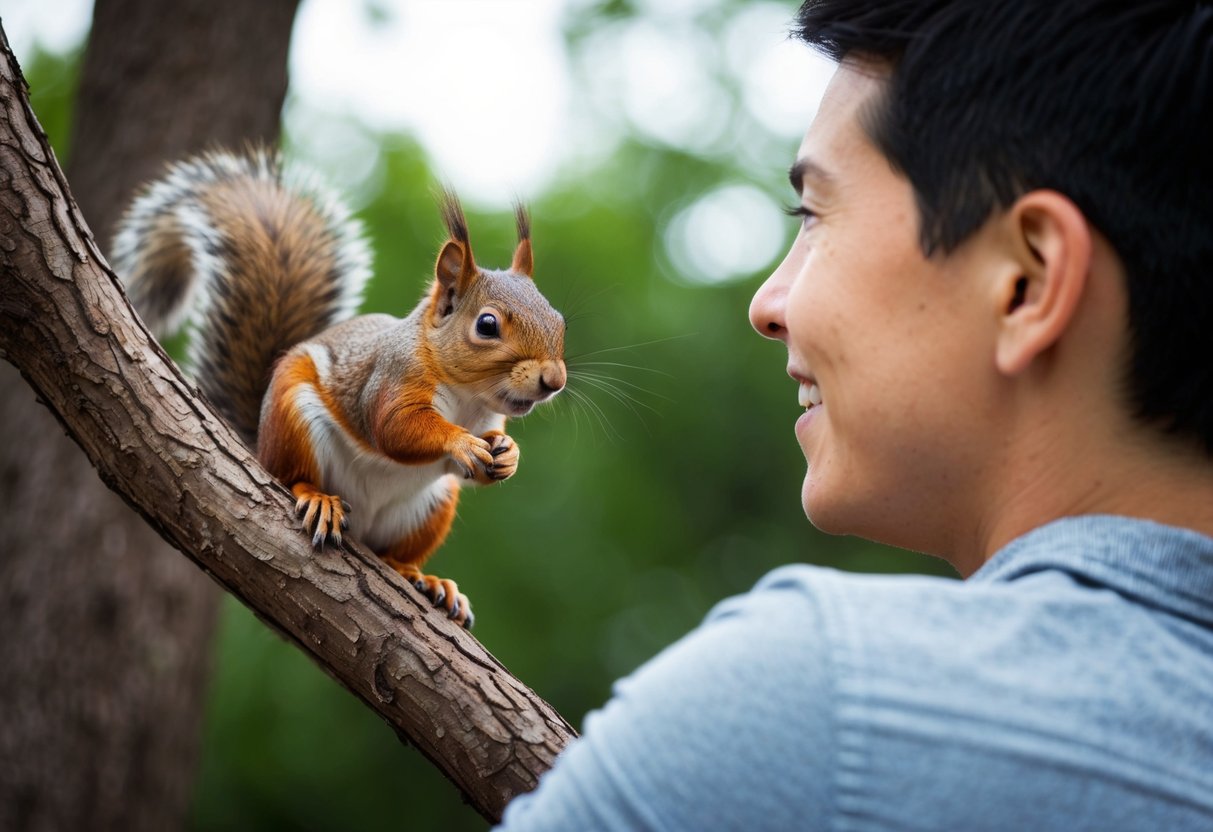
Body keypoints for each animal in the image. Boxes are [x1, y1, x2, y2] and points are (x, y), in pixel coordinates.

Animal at [111, 148, 567, 628]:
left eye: (559, 320)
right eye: (487, 325)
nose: (554, 381)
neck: (467, 398)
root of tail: (260, 444)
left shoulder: (487, 419)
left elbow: (485, 451)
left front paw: (509, 453)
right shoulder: (390, 378)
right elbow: (394, 427)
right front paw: (458, 441)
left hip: (431, 506)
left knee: (394, 556)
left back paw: (426, 579)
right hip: (294, 420)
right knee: (292, 476)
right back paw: (317, 498)